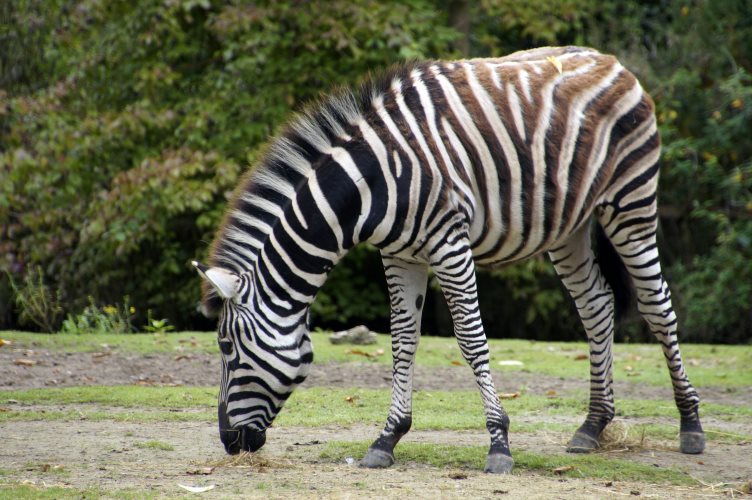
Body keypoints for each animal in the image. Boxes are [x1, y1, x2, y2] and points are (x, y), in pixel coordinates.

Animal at [193, 46, 705, 474]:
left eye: (226, 347)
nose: (228, 442)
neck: (370, 183)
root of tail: (612, 61)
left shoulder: (449, 244)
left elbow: (471, 340)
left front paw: (499, 443)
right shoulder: (399, 255)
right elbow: (402, 342)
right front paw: (387, 439)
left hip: (631, 201)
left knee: (657, 305)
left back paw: (690, 425)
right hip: (569, 226)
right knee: (597, 305)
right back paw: (593, 426)